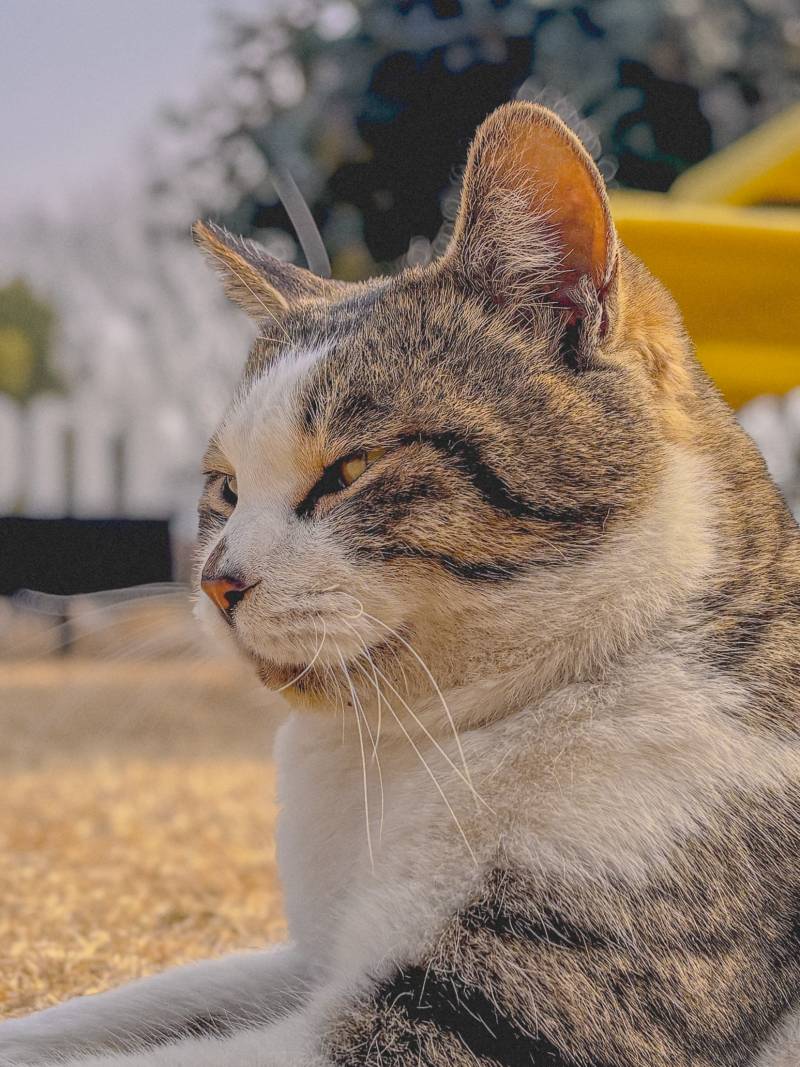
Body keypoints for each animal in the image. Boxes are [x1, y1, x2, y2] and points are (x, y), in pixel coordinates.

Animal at [1, 100, 800, 1067]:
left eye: (351, 469)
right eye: (224, 488)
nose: (218, 582)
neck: (399, 755)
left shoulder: (489, 1014)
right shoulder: (315, 960)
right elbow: (129, 1004)